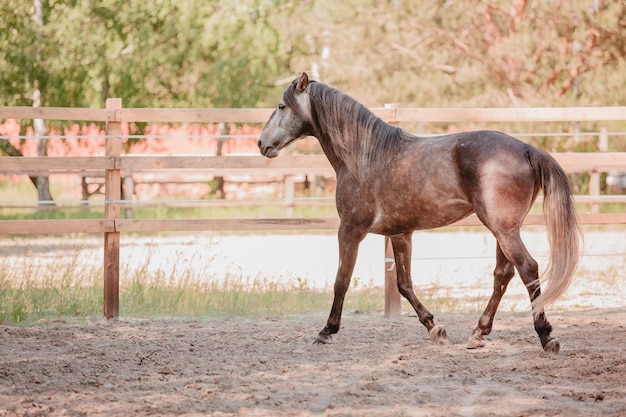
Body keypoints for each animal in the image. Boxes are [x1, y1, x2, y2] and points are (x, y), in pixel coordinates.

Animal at [256, 72, 576, 352]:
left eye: (282, 106)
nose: (261, 143)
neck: (364, 156)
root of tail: (527, 149)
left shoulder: (350, 229)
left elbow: (341, 281)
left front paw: (327, 331)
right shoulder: (400, 235)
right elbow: (404, 284)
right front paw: (435, 328)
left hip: (503, 229)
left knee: (528, 269)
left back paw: (546, 336)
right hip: (503, 229)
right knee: (503, 274)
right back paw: (478, 333)